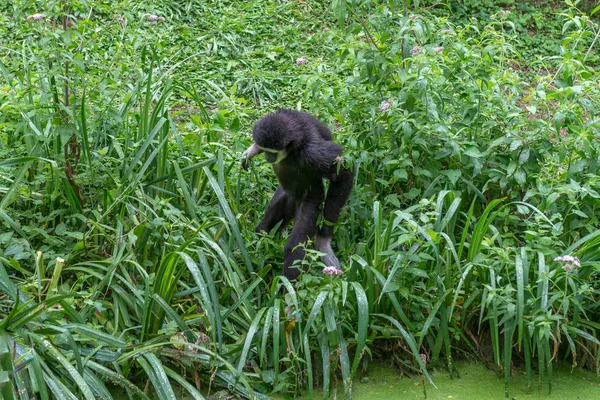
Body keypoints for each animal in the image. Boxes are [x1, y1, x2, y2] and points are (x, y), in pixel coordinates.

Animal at [241, 108, 354, 280]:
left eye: (272, 152)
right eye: (265, 150)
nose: (267, 156)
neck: (291, 152)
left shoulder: (313, 153)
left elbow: (344, 173)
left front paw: (323, 242)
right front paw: (252, 150)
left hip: (311, 204)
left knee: (295, 247)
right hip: (287, 195)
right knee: (266, 223)